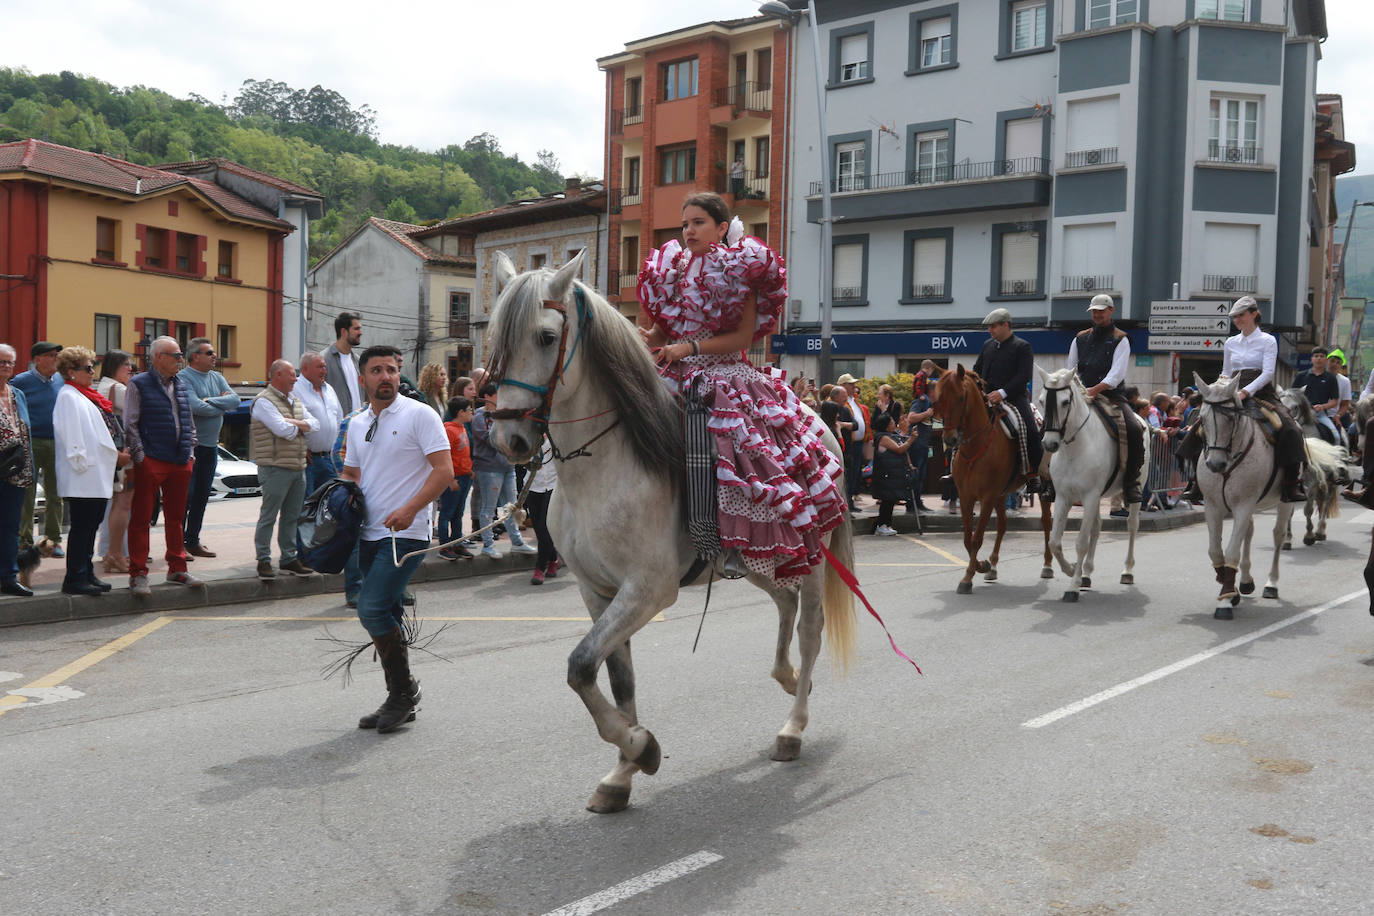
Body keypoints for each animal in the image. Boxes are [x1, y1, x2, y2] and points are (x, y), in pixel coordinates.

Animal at [478, 252, 851, 818]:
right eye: (495, 337)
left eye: (546, 336)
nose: (510, 438)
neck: (604, 467)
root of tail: (819, 419)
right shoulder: (597, 591)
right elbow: (614, 677)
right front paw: (621, 773)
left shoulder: (648, 590)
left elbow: (579, 665)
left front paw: (641, 748)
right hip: (758, 555)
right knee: (783, 603)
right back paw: (785, 678)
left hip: (812, 554)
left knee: (810, 628)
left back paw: (793, 728)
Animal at [934, 365, 1049, 596]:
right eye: (939, 398)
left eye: (961, 398)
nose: (950, 439)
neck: (975, 446)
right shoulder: (967, 496)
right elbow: (968, 539)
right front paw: (982, 565)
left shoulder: (986, 497)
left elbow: (977, 539)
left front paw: (968, 578)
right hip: (1001, 493)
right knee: (1003, 524)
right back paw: (993, 566)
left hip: (1045, 490)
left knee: (1047, 523)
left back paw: (1048, 565)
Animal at [1033, 368, 1154, 604]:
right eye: (1042, 400)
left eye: (1065, 402)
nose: (1050, 444)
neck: (1075, 448)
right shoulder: (1064, 497)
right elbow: (1055, 542)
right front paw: (1073, 570)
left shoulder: (1089, 496)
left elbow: (1080, 542)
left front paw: (1072, 586)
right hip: (1097, 497)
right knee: (1096, 528)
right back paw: (1087, 573)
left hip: (1133, 490)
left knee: (1132, 526)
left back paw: (1127, 571)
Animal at [1198, 373, 1291, 623]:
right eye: (1202, 419)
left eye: (1231, 418)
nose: (1215, 464)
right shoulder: (1213, 506)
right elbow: (1215, 550)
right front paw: (1230, 590)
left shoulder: (1243, 505)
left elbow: (1231, 550)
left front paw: (1225, 602)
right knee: (1248, 532)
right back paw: (1246, 581)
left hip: (1284, 502)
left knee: (1278, 536)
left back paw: (1272, 584)